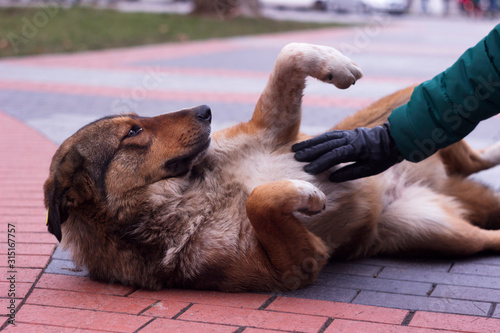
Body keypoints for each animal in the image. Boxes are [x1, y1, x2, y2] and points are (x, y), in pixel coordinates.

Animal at [44, 42, 500, 290]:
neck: (193, 190)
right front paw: (303, 195)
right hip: (442, 233)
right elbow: (260, 202)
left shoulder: (274, 131)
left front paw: (334, 65)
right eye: (134, 131)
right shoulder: (294, 267)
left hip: (396, 108)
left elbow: (289, 53)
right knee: (485, 230)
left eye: (139, 119)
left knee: (462, 148)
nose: (206, 110)